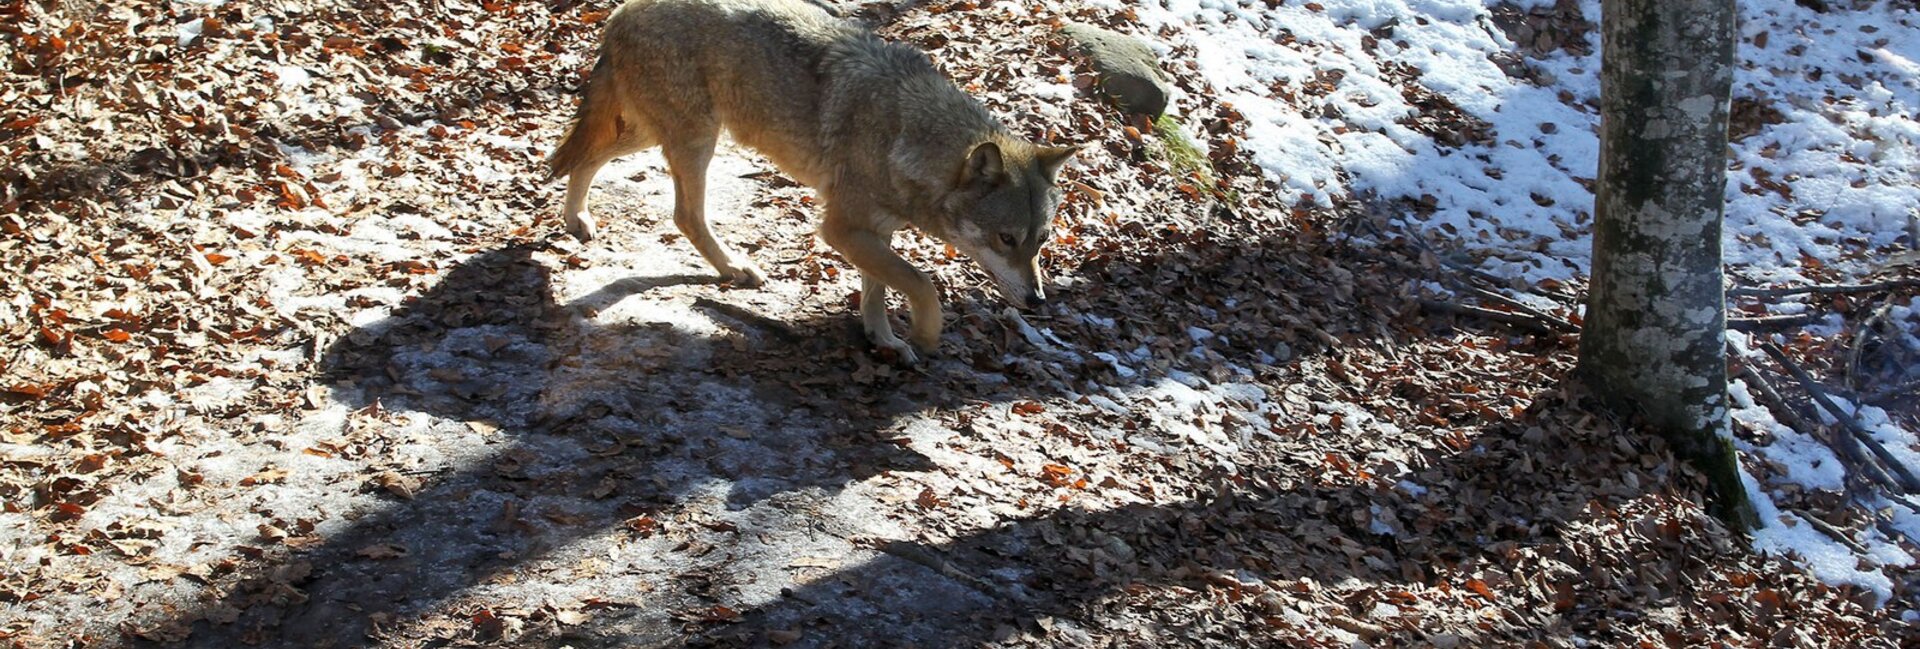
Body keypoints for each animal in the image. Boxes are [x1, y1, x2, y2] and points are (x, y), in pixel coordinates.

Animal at [549, 0, 1075, 362]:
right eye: (1006, 239)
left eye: (1041, 241)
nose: (1037, 300)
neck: (906, 137)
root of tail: (622, 11)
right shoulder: (839, 229)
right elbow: (921, 281)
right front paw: (925, 335)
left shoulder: (874, 231)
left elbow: (878, 292)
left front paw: (884, 340)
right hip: (695, 140)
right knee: (682, 214)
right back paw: (731, 267)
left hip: (655, 133)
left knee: (585, 159)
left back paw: (577, 219)